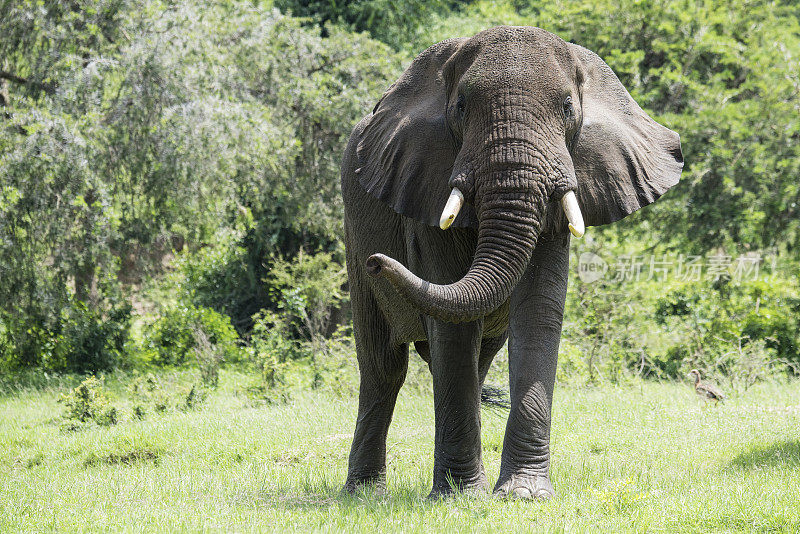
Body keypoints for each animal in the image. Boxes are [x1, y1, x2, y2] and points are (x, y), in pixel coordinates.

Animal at [340, 27, 684, 500]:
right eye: (461, 107)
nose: (378, 262)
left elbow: (537, 312)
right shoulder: (426, 179)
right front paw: (461, 496)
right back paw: (363, 493)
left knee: (477, 360)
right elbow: (453, 325)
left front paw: (522, 494)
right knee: (384, 369)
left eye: (567, 108)